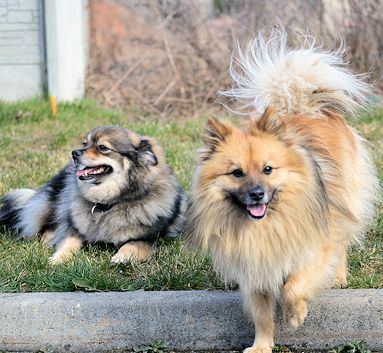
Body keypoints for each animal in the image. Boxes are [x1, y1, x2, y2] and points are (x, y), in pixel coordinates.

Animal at [0, 125, 186, 262]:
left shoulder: (151, 238)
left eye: (102, 147)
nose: (74, 153)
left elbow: (134, 244)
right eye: (85, 143)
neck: (108, 204)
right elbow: (68, 242)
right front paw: (58, 259)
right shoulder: (75, 228)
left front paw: (122, 257)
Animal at [186, 31, 378, 352]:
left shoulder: (314, 247)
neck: (268, 224)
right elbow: (262, 315)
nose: (257, 195)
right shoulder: (255, 268)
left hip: (344, 202)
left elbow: (295, 286)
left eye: (268, 169)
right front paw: (262, 345)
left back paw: (339, 277)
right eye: (237, 173)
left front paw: (294, 314)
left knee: (342, 241)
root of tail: (302, 109)